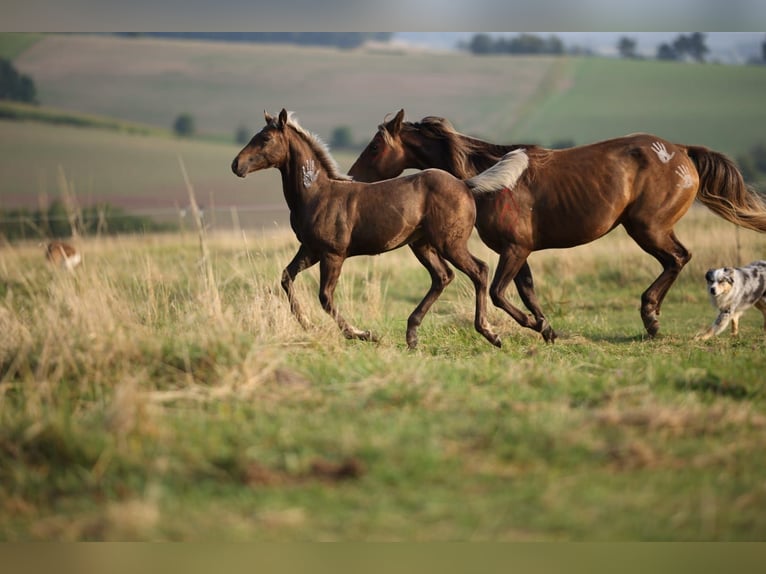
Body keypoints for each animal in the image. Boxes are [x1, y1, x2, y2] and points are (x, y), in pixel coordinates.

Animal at [230, 109, 528, 348]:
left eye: (265, 139)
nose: (236, 165)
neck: (316, 193)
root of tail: (465, 184)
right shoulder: (310, 250)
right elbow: (286, 278)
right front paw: (307, 325)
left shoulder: (332, 254)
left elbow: (325, 297)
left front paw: (362, 334)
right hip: (422, 245)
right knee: (443, 276)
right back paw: (412, 336)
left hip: (450, 243)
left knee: (479, 270)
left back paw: (491, 332)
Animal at [352, 109, 766, 342]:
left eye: (374, 147)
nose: (352, 178)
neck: (490, 179)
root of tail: (681, 151)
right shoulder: (519, 252)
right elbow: (528, 293)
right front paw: (547, 329)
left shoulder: (514, 250)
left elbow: (500, 294)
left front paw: (531, 327)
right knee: (675, 260)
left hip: (648, 227)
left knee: (678, 258)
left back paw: (650, 318)